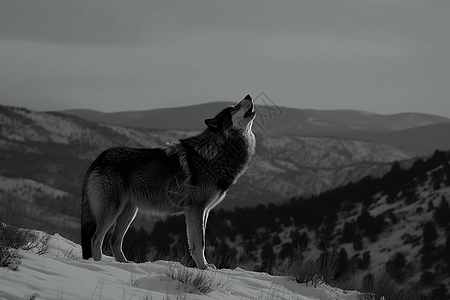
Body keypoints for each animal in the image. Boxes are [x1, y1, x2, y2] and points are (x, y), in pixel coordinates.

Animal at [81, 94, 256, 270]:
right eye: (233, 109)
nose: (248, 95)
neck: (218, 153)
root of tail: (99, 158)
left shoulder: (203, 211)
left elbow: (196, 243)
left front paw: (204, 266)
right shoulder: (196, 209)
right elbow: (200, 242)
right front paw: (204, 267)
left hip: (129, 212)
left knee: (114, 241)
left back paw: (125, 264)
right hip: (113, 211)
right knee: (95, 239)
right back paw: (99, 265)